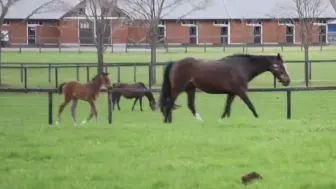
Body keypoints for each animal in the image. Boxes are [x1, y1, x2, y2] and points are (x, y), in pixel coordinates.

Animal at [159, 53, 290, 124]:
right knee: (169, 104)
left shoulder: (232, 93)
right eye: (280, 66)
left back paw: (200, 120)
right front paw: (258, 118)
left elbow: (226, 109)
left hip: (190, 89)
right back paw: (165, 122)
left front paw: (221, 120)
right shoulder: (240, 91)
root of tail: (175, 63)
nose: (287, 81)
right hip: (177, 89)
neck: (242, 67)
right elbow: (250, 105)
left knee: (190, 105)